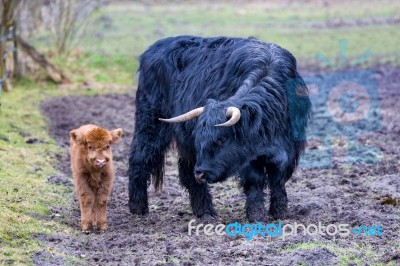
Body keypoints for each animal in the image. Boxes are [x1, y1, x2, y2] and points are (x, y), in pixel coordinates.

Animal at [130, 35, 310, 222]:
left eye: (221, 139)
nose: (201, 173)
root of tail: (153, 49)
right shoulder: (249, 157)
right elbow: (255, 181)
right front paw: (257, 215)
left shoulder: (288, 149)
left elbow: (278, 179)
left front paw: (279, 212)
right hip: (150, 123)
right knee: (140, 157)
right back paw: (139, 207)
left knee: (187, 171)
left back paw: (204, 211)